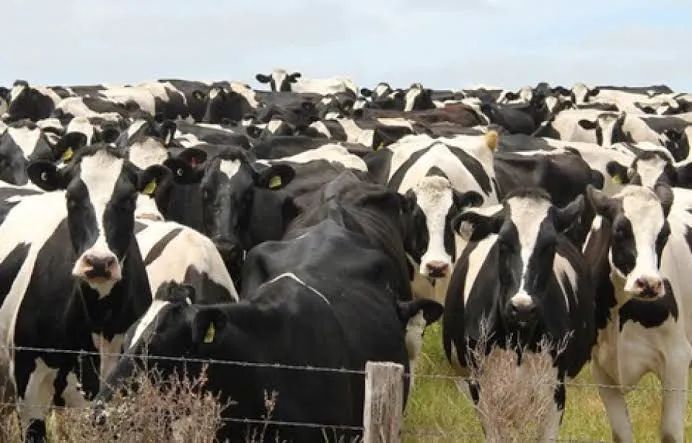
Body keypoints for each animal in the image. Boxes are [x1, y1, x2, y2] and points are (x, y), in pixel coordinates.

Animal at [444, 189, 594, 441]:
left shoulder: (555, 391)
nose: (522, 307)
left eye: (550, 245)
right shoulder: (483, 391)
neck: (518, 344)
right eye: (503, 243)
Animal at [583, 184, 692, 442]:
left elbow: (671, 432)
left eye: (664, 234)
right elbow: (621, 434)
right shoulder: (601, 368)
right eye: (620, 230)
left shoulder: (677, 357)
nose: (649, 283)